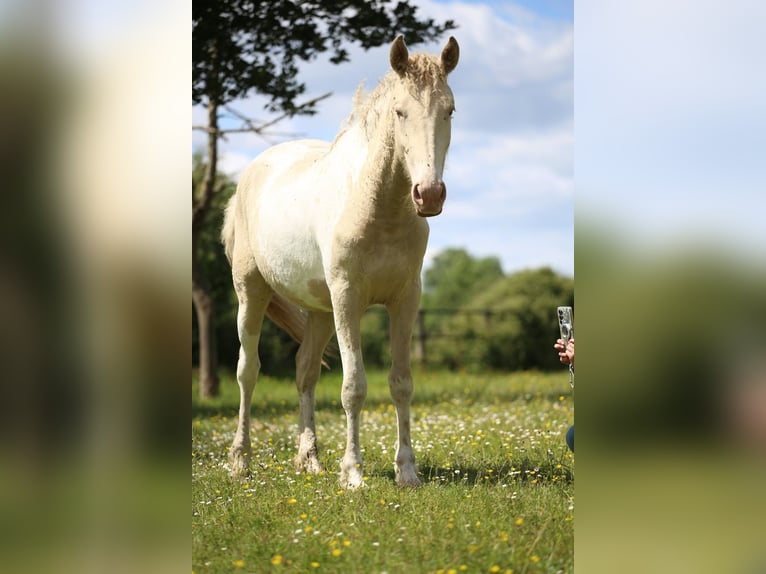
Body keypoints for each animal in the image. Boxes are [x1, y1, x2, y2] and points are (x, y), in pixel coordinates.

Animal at [221, 35, 460, 488]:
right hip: (252, 293)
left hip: (319, 310)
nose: (429, 194)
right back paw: (240, 460)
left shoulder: (406, 299)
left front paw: (407, 471)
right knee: (247, 370)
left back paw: (309, 460)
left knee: (305, 371)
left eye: (450, 110)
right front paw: (352, 474)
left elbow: (401, 383)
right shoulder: (348, 298)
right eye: (400, 111)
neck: (376, 207)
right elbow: (354, 387)